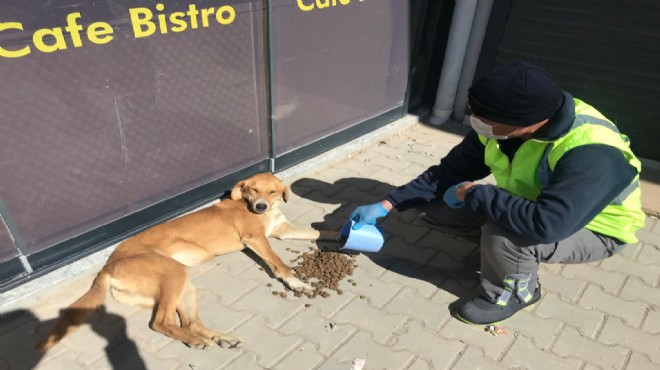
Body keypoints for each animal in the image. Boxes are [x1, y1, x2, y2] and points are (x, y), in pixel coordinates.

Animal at [36, 173, 338, 350]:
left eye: (273, 192)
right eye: (252, 189)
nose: (261, 206)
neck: (259, 211)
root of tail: (108, 265)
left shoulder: (281, 230)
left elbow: (318, 232)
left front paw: (340, 235)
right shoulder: (256, 239)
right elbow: (278, 262)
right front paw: (295, 282)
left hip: (180, 285)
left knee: (186, 322)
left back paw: (217, 337)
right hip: (173, 274)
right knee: (161, 323)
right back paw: (198, 341)